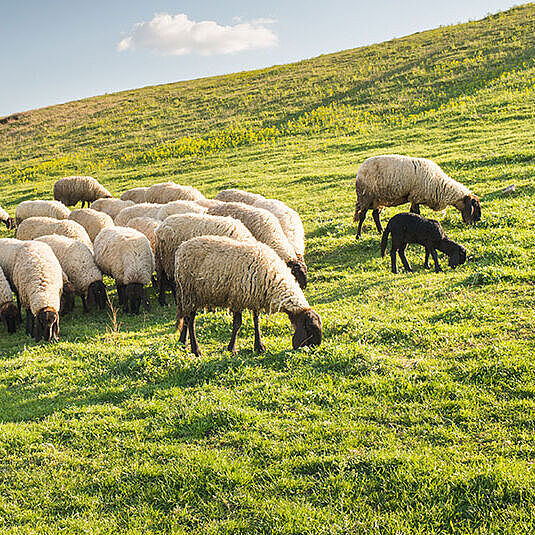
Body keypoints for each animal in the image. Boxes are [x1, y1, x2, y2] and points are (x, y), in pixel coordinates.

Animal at [175, 236, 322, 356]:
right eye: (310, 329)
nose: (314, 349)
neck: (273, 279)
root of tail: (181, 247)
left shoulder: (255, 298)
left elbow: (256, 321)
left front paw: (259, 346)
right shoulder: (237, 298)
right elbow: (237, 324)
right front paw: (232, 349)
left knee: (187, 319)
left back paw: (184, 343)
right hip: (190, 293)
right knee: (190, 320)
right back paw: (196, 350)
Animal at [354, 156, 484, 238]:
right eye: (475, 205)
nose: (478, 220)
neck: (440, 185)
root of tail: (359, 170)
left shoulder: (413, 198)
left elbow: (412, 212)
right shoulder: (416, 196)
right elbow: (417, 213)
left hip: (378, 199)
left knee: (375, 214)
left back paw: (381, 231)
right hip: (366, 196)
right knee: (362, 216)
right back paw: (358, 236)